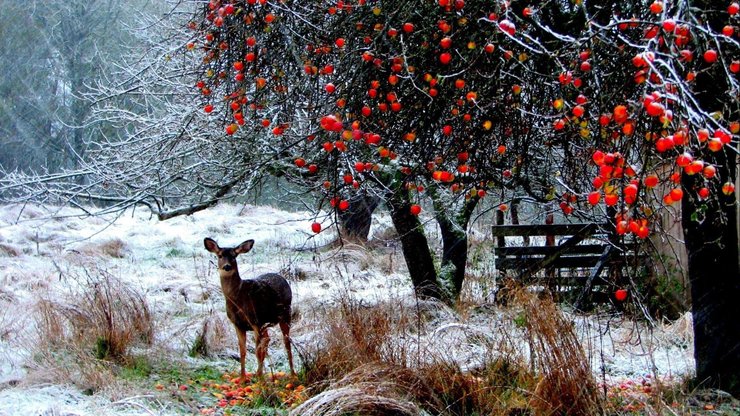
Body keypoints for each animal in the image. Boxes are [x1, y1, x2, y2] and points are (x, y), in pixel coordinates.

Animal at [204, 237, 296, 380]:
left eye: (234, 256)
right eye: (219, 255)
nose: (227, 267)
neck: (237, 298)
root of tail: (282, 278)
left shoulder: (254, 320)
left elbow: (257, 351)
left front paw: (260, 379)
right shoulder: (238, 324)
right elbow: (243, 351)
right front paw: (243, 378)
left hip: (286, 314)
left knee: (286, 342)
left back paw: (292, 374)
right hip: (265, 323)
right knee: (267, 339)